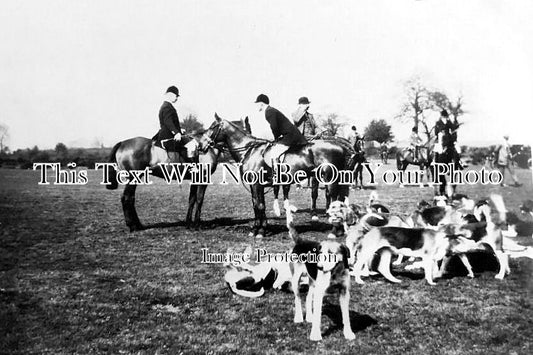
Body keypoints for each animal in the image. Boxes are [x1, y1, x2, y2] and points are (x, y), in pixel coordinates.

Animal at [197, 114, 352, 239]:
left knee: (335, 201)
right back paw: (339, 230)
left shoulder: (256, 184)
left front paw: (261, 231)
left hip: (330, 180)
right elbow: (257, 204)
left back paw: (334, 231)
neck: (249, 150)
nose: (200, 146)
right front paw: (257, 229)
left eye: (212, 127)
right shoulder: (256, 186)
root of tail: (340, 146)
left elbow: (259, 205)